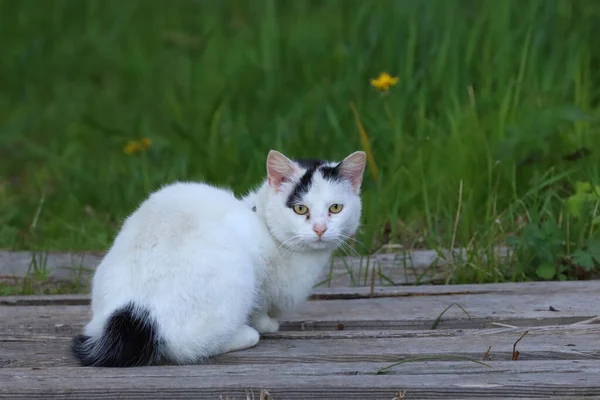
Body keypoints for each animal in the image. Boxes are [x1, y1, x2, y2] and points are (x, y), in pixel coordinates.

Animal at [72, 149, 368, 366]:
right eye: (300, 209)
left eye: (335, 208)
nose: (320, 229)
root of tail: (135, 313)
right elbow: (260, 308)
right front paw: (266, 323)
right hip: (238, 272)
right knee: (187, 348)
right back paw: (245, 334)